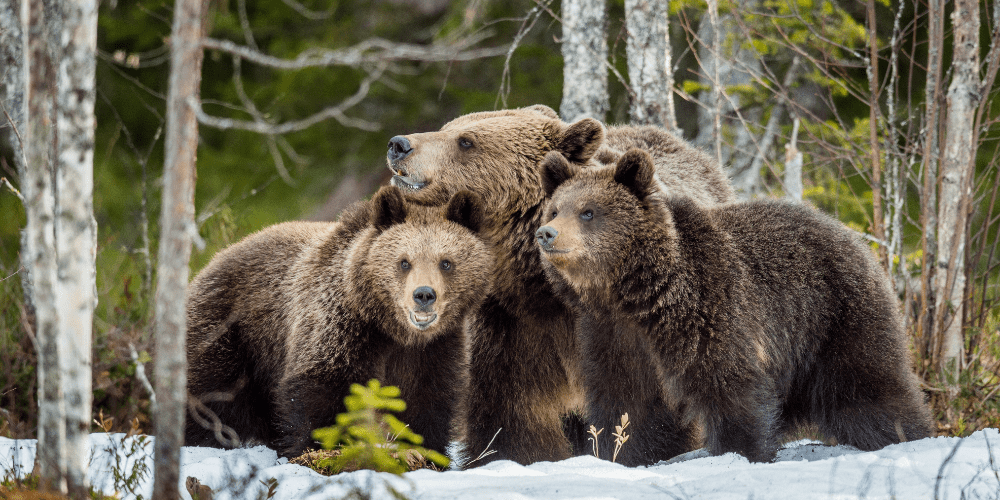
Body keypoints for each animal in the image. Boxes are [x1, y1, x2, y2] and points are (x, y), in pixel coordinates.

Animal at [186, 185, 494, 458]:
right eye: (404, 262)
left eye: (446, 262)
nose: (424, 295)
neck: (391, 328)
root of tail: (210, 263)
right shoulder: (340, 326)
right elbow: (324, 389)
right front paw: (326, 446)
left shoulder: (434, 347)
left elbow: (426, 398)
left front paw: (423, 451)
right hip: (229, 334)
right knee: (208, 396)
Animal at [386, 104, 732, 464]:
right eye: (448, 127)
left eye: (466, 141)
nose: (399, 144)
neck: (542, 288)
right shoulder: (514, 327)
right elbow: (514, 413)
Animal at [536, 149, 932, 464]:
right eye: (555, 209)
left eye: (588, 212)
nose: (546, 233)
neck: (636, 296)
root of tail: (850, 235)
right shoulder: (611, 335)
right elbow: (625, 402)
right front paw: (620, 453)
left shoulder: (710, 311)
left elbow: (729, 385)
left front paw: (739, 451)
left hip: (835, 317)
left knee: (867, 387)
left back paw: (905, 434)